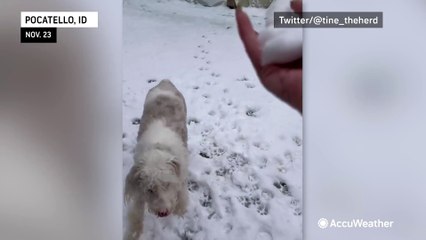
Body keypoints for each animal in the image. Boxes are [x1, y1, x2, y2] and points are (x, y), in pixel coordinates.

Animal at [124, 79, 189, 239]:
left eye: (167, 184)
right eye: (150, 189)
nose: (162, 213)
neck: (157, 147)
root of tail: (165, 81)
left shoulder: (181, 170)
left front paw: (180, 208)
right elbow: (137, 210)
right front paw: (133, 232)